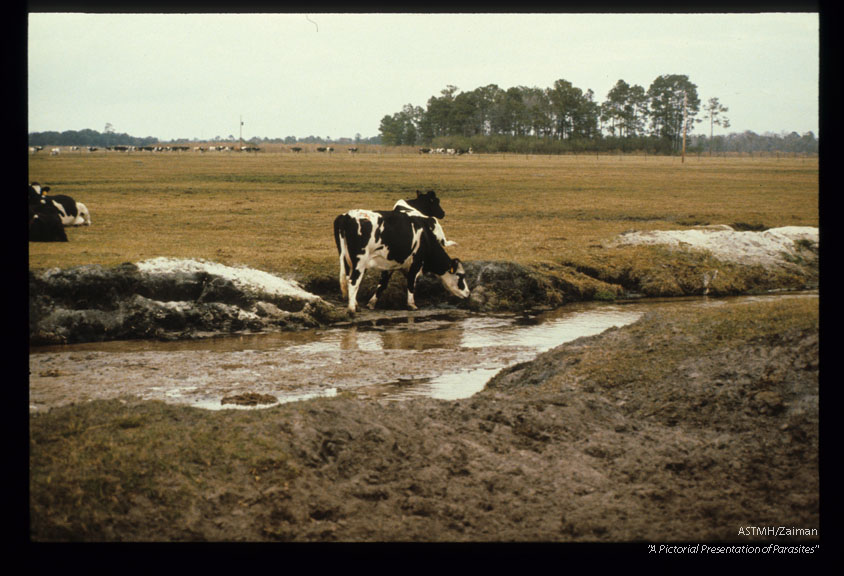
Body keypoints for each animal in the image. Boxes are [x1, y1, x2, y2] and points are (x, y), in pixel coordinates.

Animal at [332, 208, 472, 312]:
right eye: (461, 276)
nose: (468, 293)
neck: (426, 238)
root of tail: (347, 216)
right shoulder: (416, 262)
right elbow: (411, 283)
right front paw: (412, 305)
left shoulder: (391, 265)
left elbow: (382, 284)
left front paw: (371, 303)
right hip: (360, 262)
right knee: (353, 282)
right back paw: (351, 309)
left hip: (347, 260)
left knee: (348, 280)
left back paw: (355, 305)